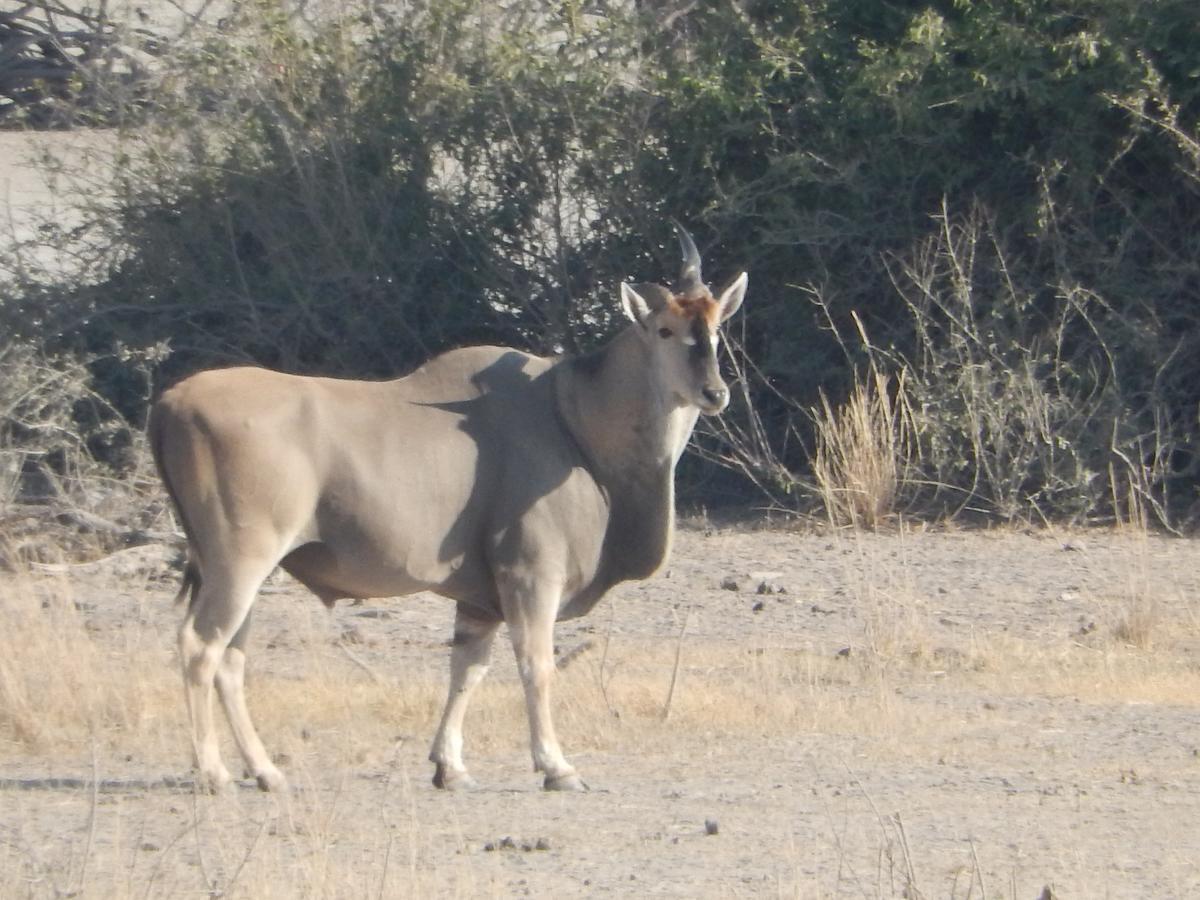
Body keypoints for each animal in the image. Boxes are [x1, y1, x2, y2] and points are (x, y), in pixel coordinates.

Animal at [153, 226, 744, 796]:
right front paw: (556, 767)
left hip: (235, 569)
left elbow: (467, 668)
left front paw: (450, 767)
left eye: (717, 328)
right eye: (665, 330)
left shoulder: (479, 602)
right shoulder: (531, 577)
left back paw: (265, 771)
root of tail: (170, 403)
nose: (715, 392)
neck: (570, 415)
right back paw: (214, 773)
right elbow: (535, 666)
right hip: (242, 562)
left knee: (231, 658)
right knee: (200, 646)